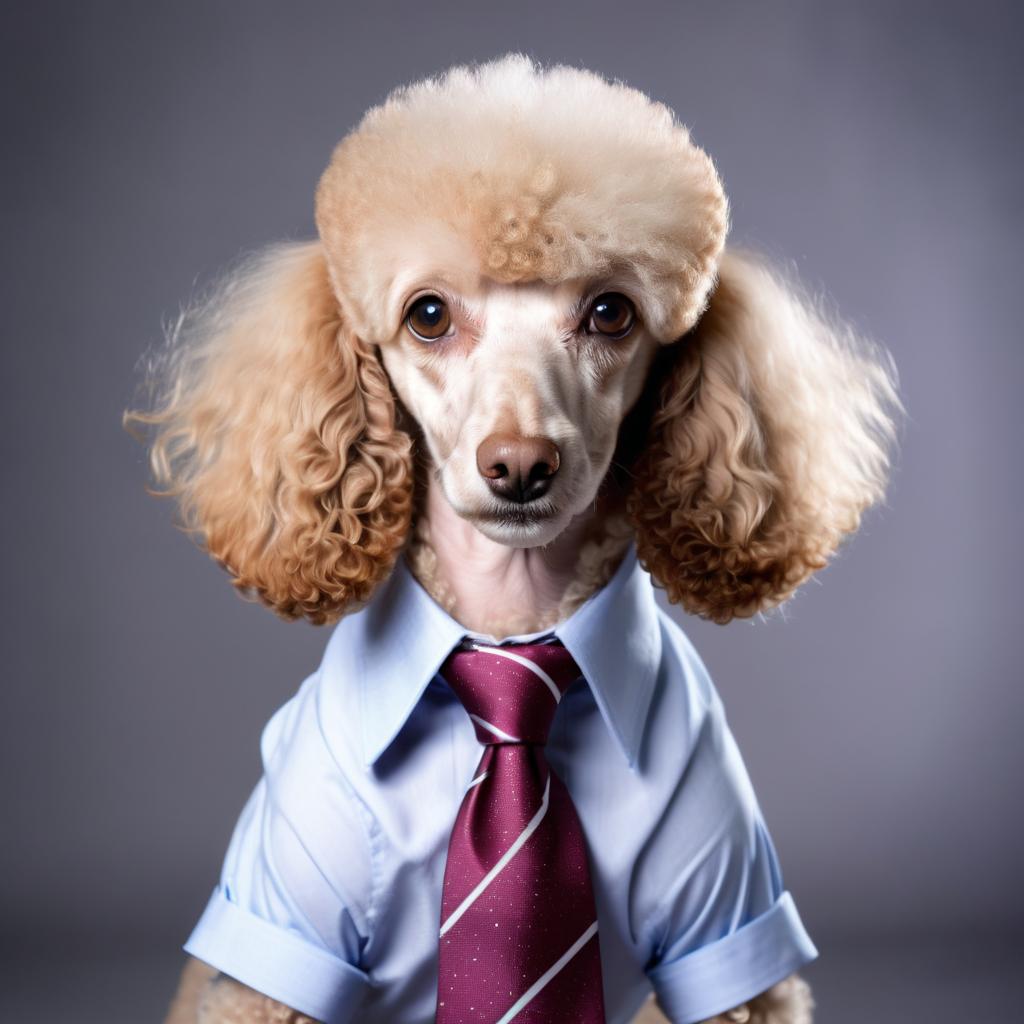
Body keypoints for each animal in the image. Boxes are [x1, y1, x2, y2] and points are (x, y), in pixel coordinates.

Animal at [132, 54, 901, 1024]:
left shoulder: (727, 931)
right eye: (428, 315)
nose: (521, 464)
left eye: (611, 312)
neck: (511, 630)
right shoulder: (275, 941)